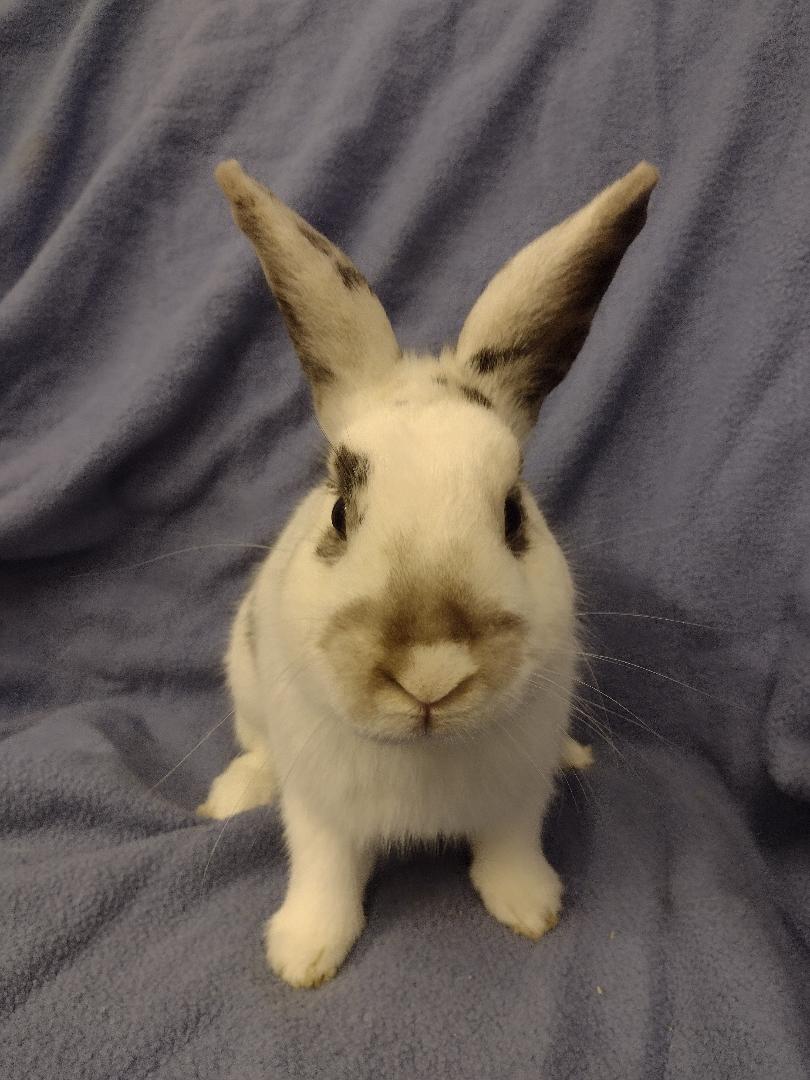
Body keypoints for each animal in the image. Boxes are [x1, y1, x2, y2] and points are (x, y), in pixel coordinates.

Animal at [199, 158, 659, 988]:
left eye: (513, 514)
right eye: (339, 513)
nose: (431, 673)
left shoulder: (517, 798)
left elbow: (511, 849)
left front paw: (531, 909)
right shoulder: (320, 808)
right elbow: (322, 869)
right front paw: (303, 955)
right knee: (255, 750)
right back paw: (232, 796)